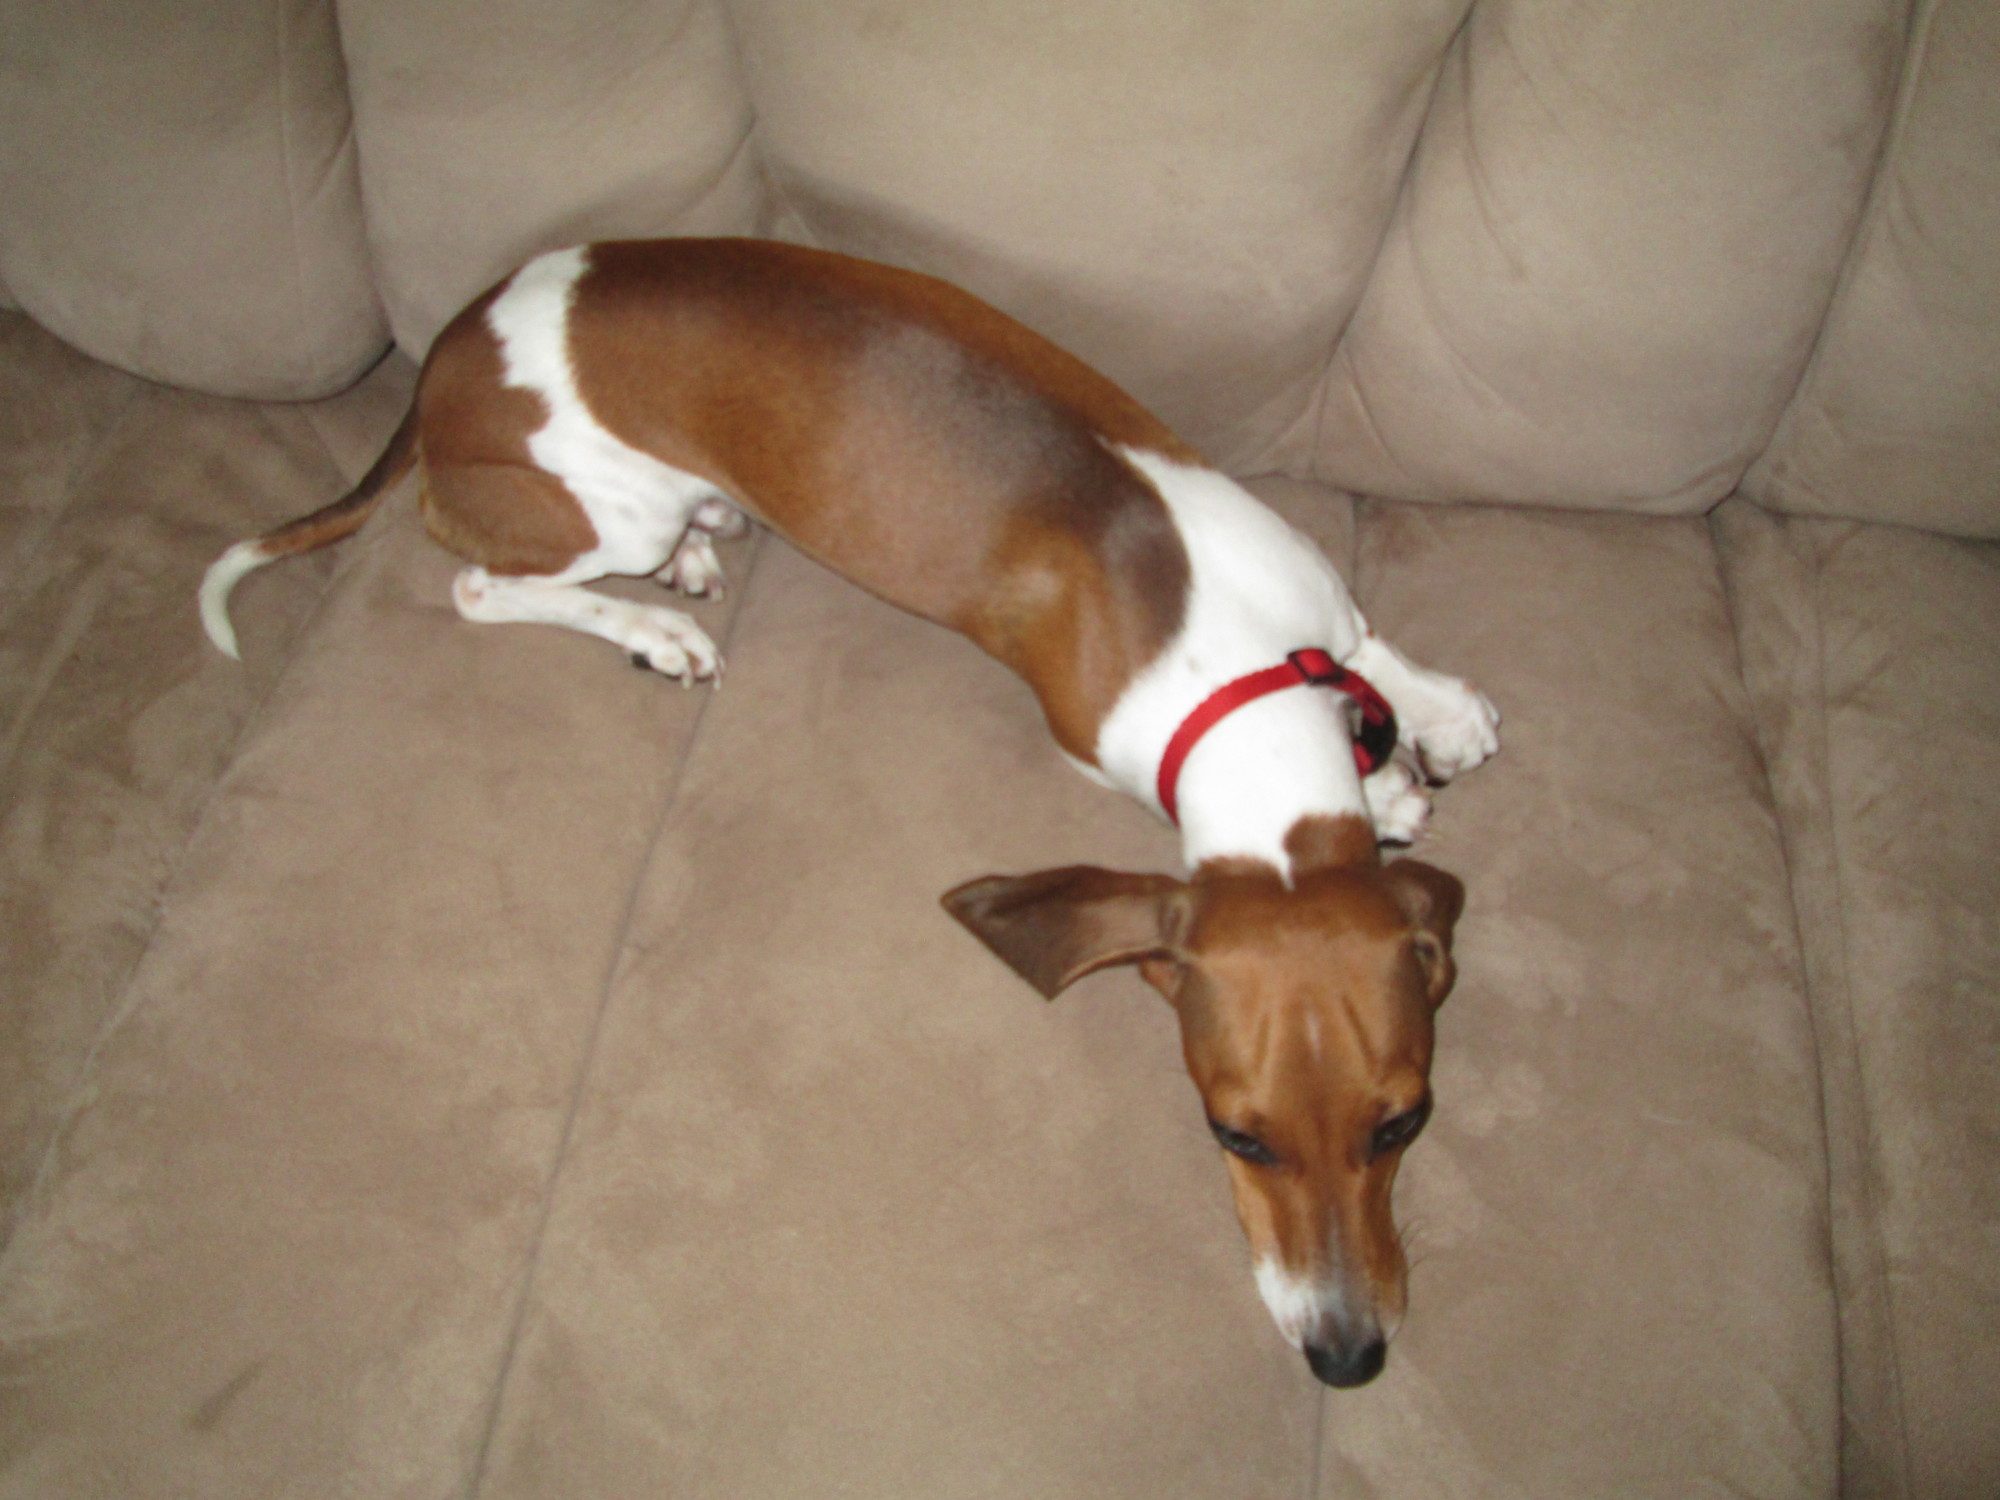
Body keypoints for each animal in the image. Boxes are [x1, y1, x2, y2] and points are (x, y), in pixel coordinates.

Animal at [201, 237, 1499, 1388]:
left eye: (1403, 1123)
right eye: (1237, 1136)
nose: (1347, 1359)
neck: (1245, 683)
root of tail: (451, 346)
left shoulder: (1319, 615)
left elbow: (1371, 648)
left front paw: (1425, 730)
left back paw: (695, 555)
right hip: (596, 516)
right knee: (479, 584)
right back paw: (651, 626)